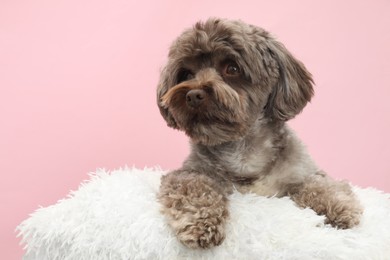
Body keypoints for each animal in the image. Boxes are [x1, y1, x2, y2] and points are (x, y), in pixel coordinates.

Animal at [155, 17, 362, 249]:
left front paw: (339, 207)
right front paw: (200, 220)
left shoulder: (300, 171)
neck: (243, 152)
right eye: (187, 74)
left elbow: (320, 184)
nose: (193, 95)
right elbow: (194, 188)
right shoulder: (188, 173)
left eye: (232, 68)